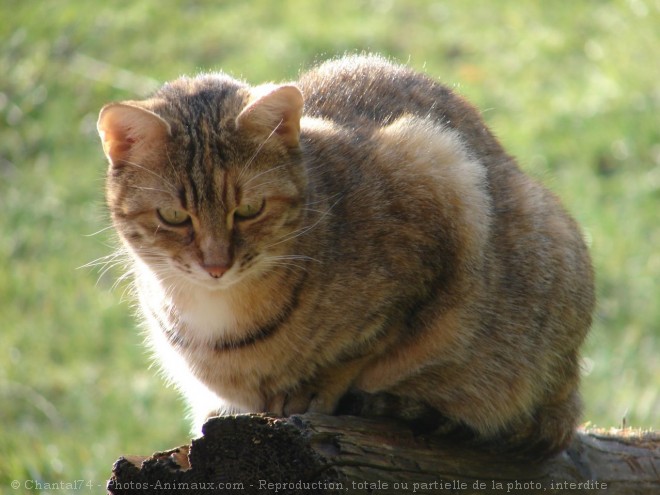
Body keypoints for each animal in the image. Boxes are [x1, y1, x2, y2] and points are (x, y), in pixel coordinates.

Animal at [99, 54, 600, 462]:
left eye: (249, 209)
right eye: (173, 216)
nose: (216, 266)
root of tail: (570, 389)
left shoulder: (441, 180)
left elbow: (370, 342)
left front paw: (316, 387)